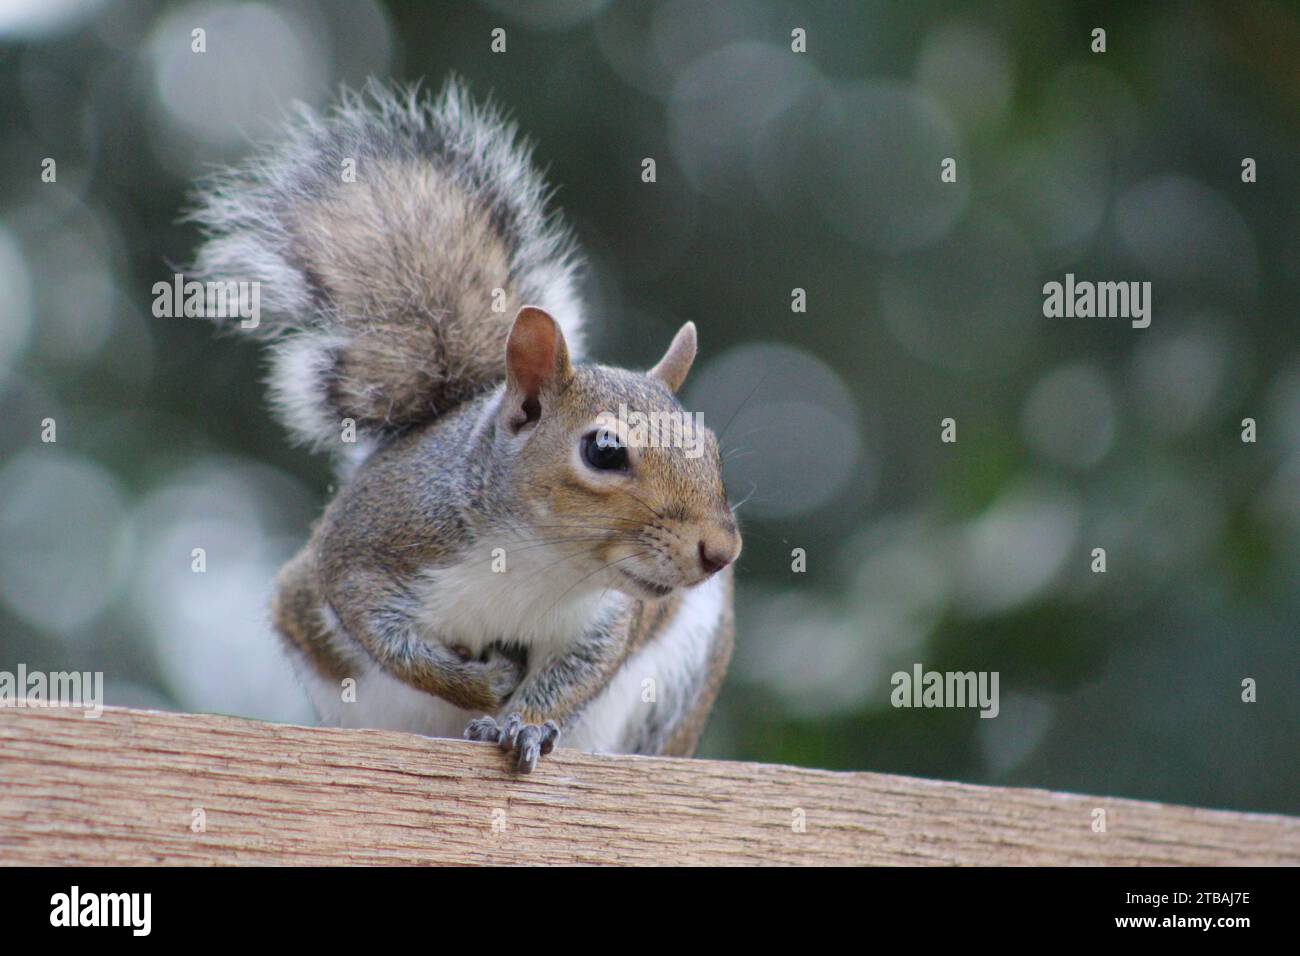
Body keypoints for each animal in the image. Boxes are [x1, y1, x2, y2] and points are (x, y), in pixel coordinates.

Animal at [187, 80, 741, 772]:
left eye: (711, 445)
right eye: (605, 450)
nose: (721, 551)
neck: (536, 560)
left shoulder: (603, 619)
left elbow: (576, 676)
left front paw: (524, 723)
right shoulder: (363, 550)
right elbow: (386, 638)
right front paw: (482, 683)